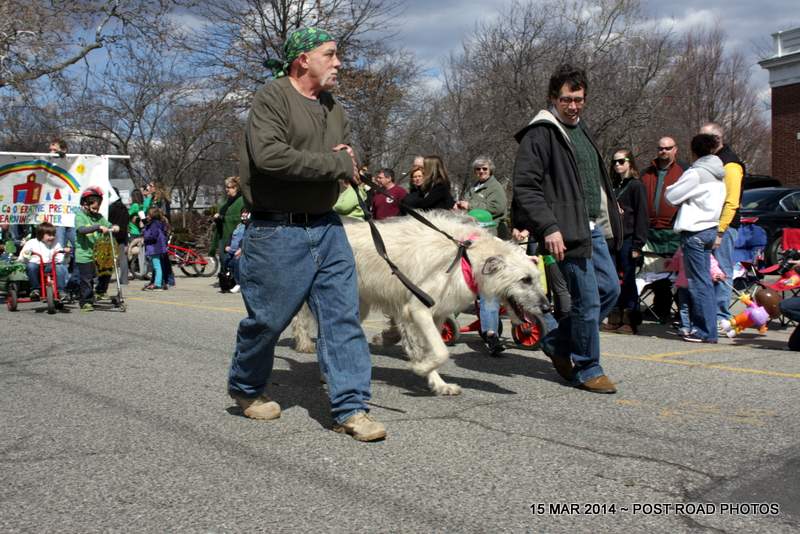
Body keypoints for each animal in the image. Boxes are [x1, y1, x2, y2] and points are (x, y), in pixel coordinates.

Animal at [294, 214, 552, 398]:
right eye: (525, 280)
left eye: (537, 278)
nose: (548, 308)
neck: (467, 258)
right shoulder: (417, 309)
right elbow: (442, 351)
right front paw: (420, 368)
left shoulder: (436, 316)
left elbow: (435, 349)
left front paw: (437, 383)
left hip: (358, 305)